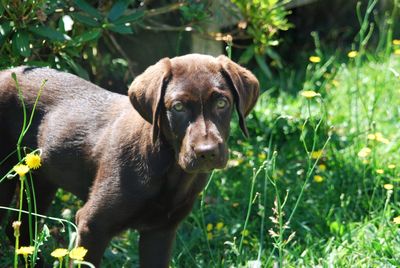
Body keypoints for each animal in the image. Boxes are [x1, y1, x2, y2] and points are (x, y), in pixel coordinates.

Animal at [0, 53, 260, 266]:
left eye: (222, 103)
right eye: (177, 107)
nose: (207, 152)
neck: (171, 169)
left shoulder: (161, 231)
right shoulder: (92, 225)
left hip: (41, 180)